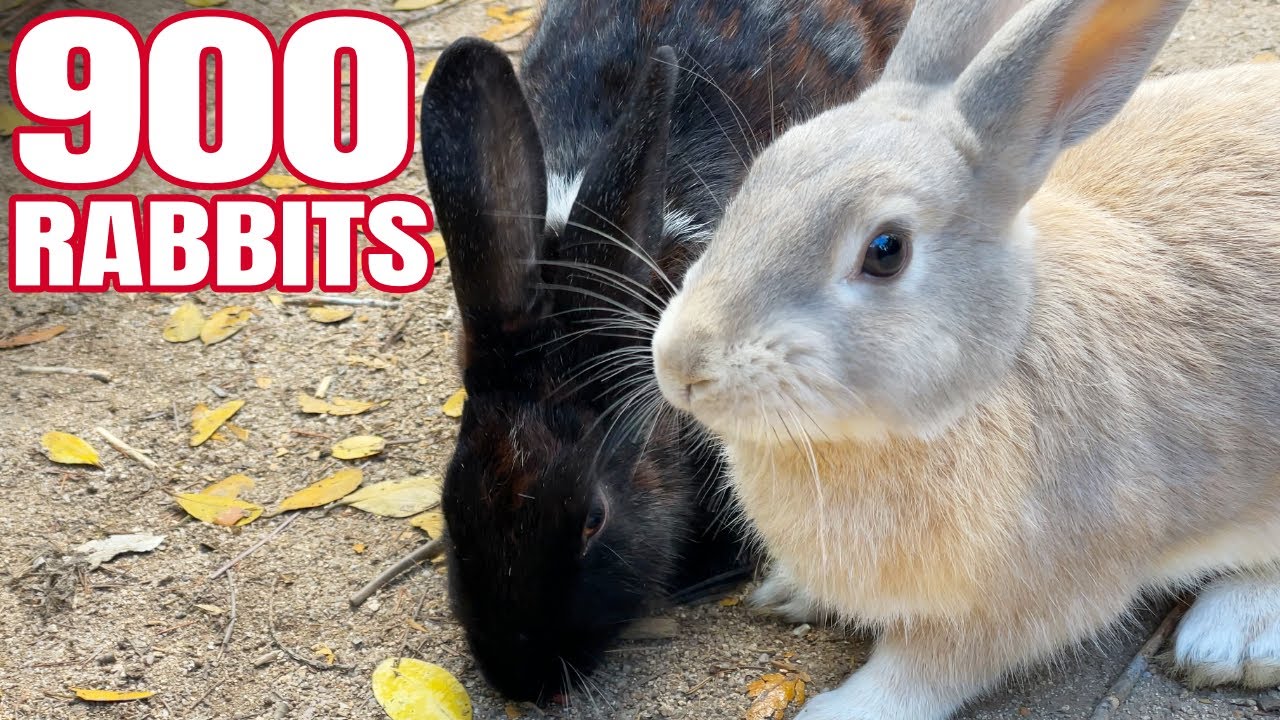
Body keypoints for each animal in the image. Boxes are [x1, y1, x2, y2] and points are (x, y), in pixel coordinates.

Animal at [651, 0, 1280, 717]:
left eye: (886, 250)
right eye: (755, 182)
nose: (681, 363)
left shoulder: (1027, 597)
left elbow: (926, 670)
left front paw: (840, 708)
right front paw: (787, 591)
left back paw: (1232, 640)